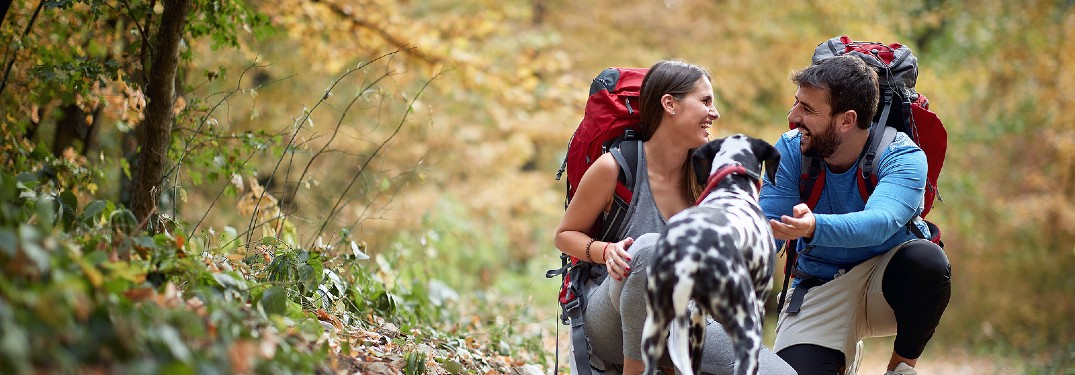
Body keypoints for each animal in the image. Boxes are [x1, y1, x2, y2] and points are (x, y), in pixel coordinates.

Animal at [636, 134, 782, 373]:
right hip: (748, 331)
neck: (731, 187)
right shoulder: (759, 305)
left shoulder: (697, 318)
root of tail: (689, 254)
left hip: (653, 333)